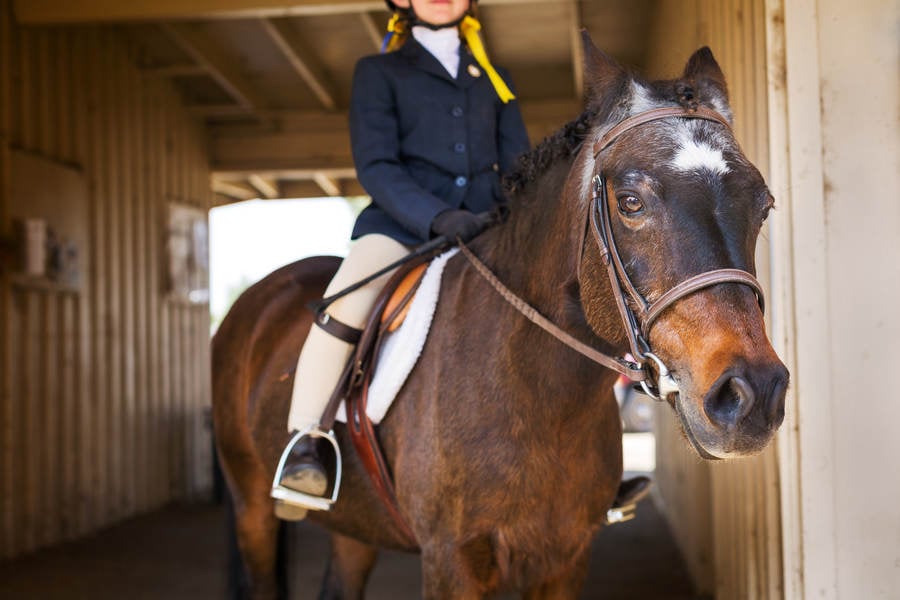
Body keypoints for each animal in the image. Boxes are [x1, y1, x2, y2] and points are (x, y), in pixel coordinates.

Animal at [211, 34, 788, 600]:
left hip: (354, 524)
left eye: (764, 206)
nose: (753, 394)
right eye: (630, 202)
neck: (540, 395)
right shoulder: (451, 560)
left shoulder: (567, 557)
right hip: (252, 507)